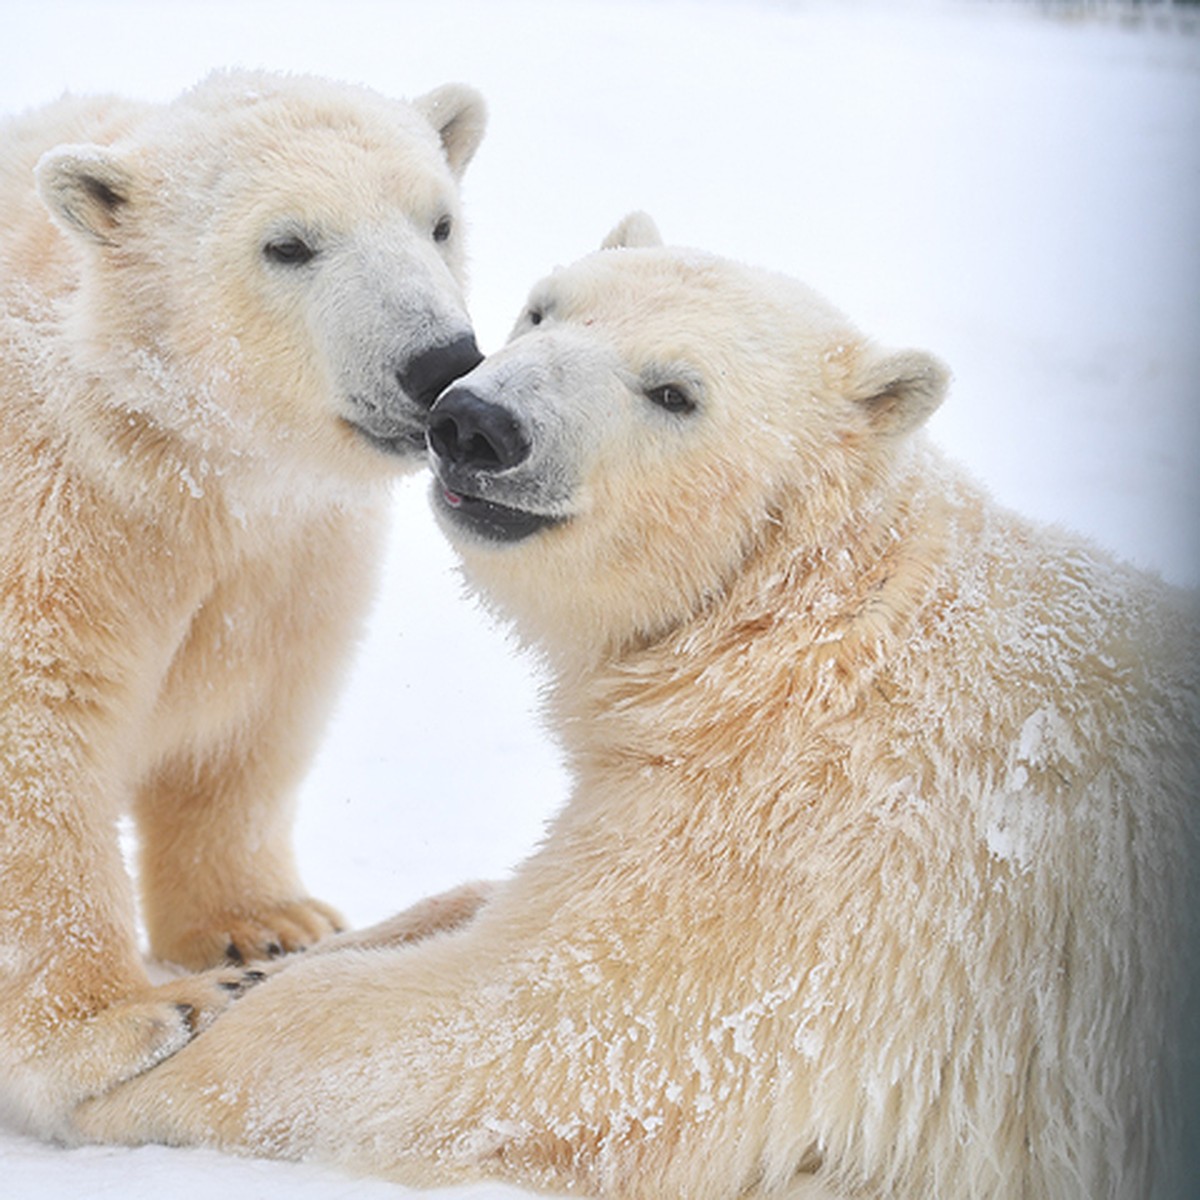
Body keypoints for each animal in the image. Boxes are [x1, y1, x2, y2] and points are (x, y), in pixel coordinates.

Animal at [2, 70, 487, 1137]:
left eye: (438, 221)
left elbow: (247, 710)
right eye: (289, 244)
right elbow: (36, 736)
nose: (440, 363)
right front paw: (123, 1023)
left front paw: (265, 925)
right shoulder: (50, 506)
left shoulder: (283, 550)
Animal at [77, 216, 1200, 1200]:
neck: (806, 626)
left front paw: (120, 1082)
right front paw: (242, 972)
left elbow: (542, 1035)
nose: (476, 420)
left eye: (674, 392)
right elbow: (478, 908)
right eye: (542, 308)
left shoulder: (805, 860)